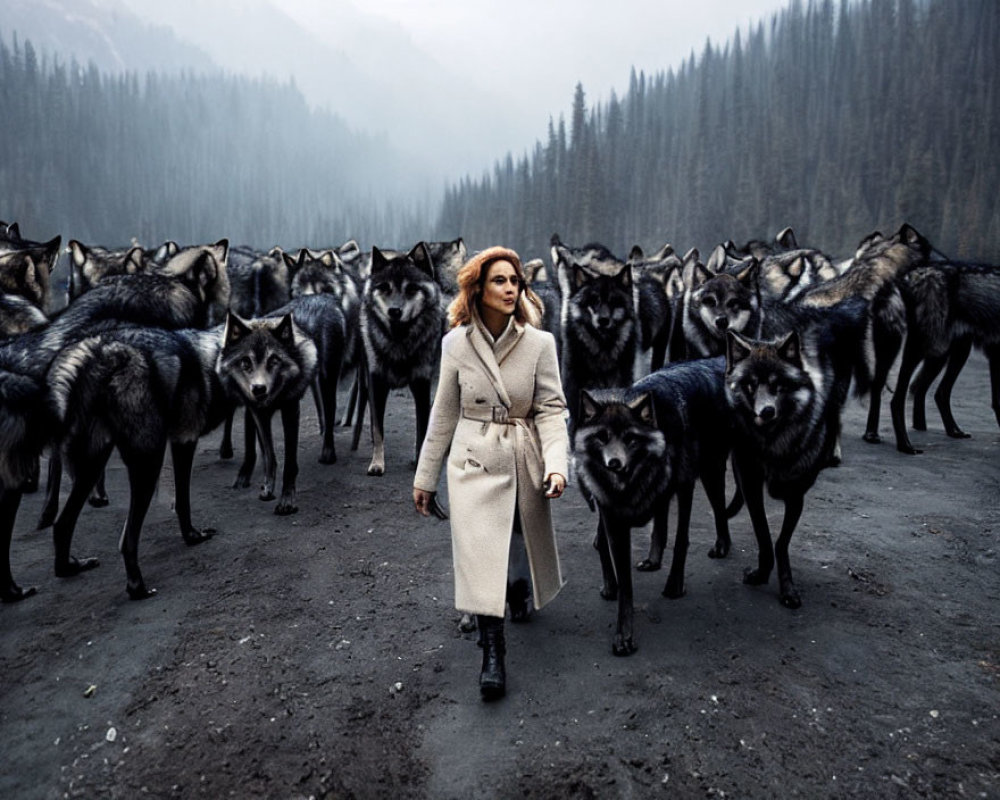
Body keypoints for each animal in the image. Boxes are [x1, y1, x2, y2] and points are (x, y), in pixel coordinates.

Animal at [572, 358, 736, 656]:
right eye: (601, 437)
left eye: (630, 439)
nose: (615, 464)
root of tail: (712, 361)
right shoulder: (612, 518)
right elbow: (623, 580)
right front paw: (624, 634)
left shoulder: (685, 486)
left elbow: (681, 540)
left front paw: (674, 585)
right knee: (643, 525)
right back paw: (645, 564)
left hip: (710, 470)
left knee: (719, 508)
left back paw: (721, 545)